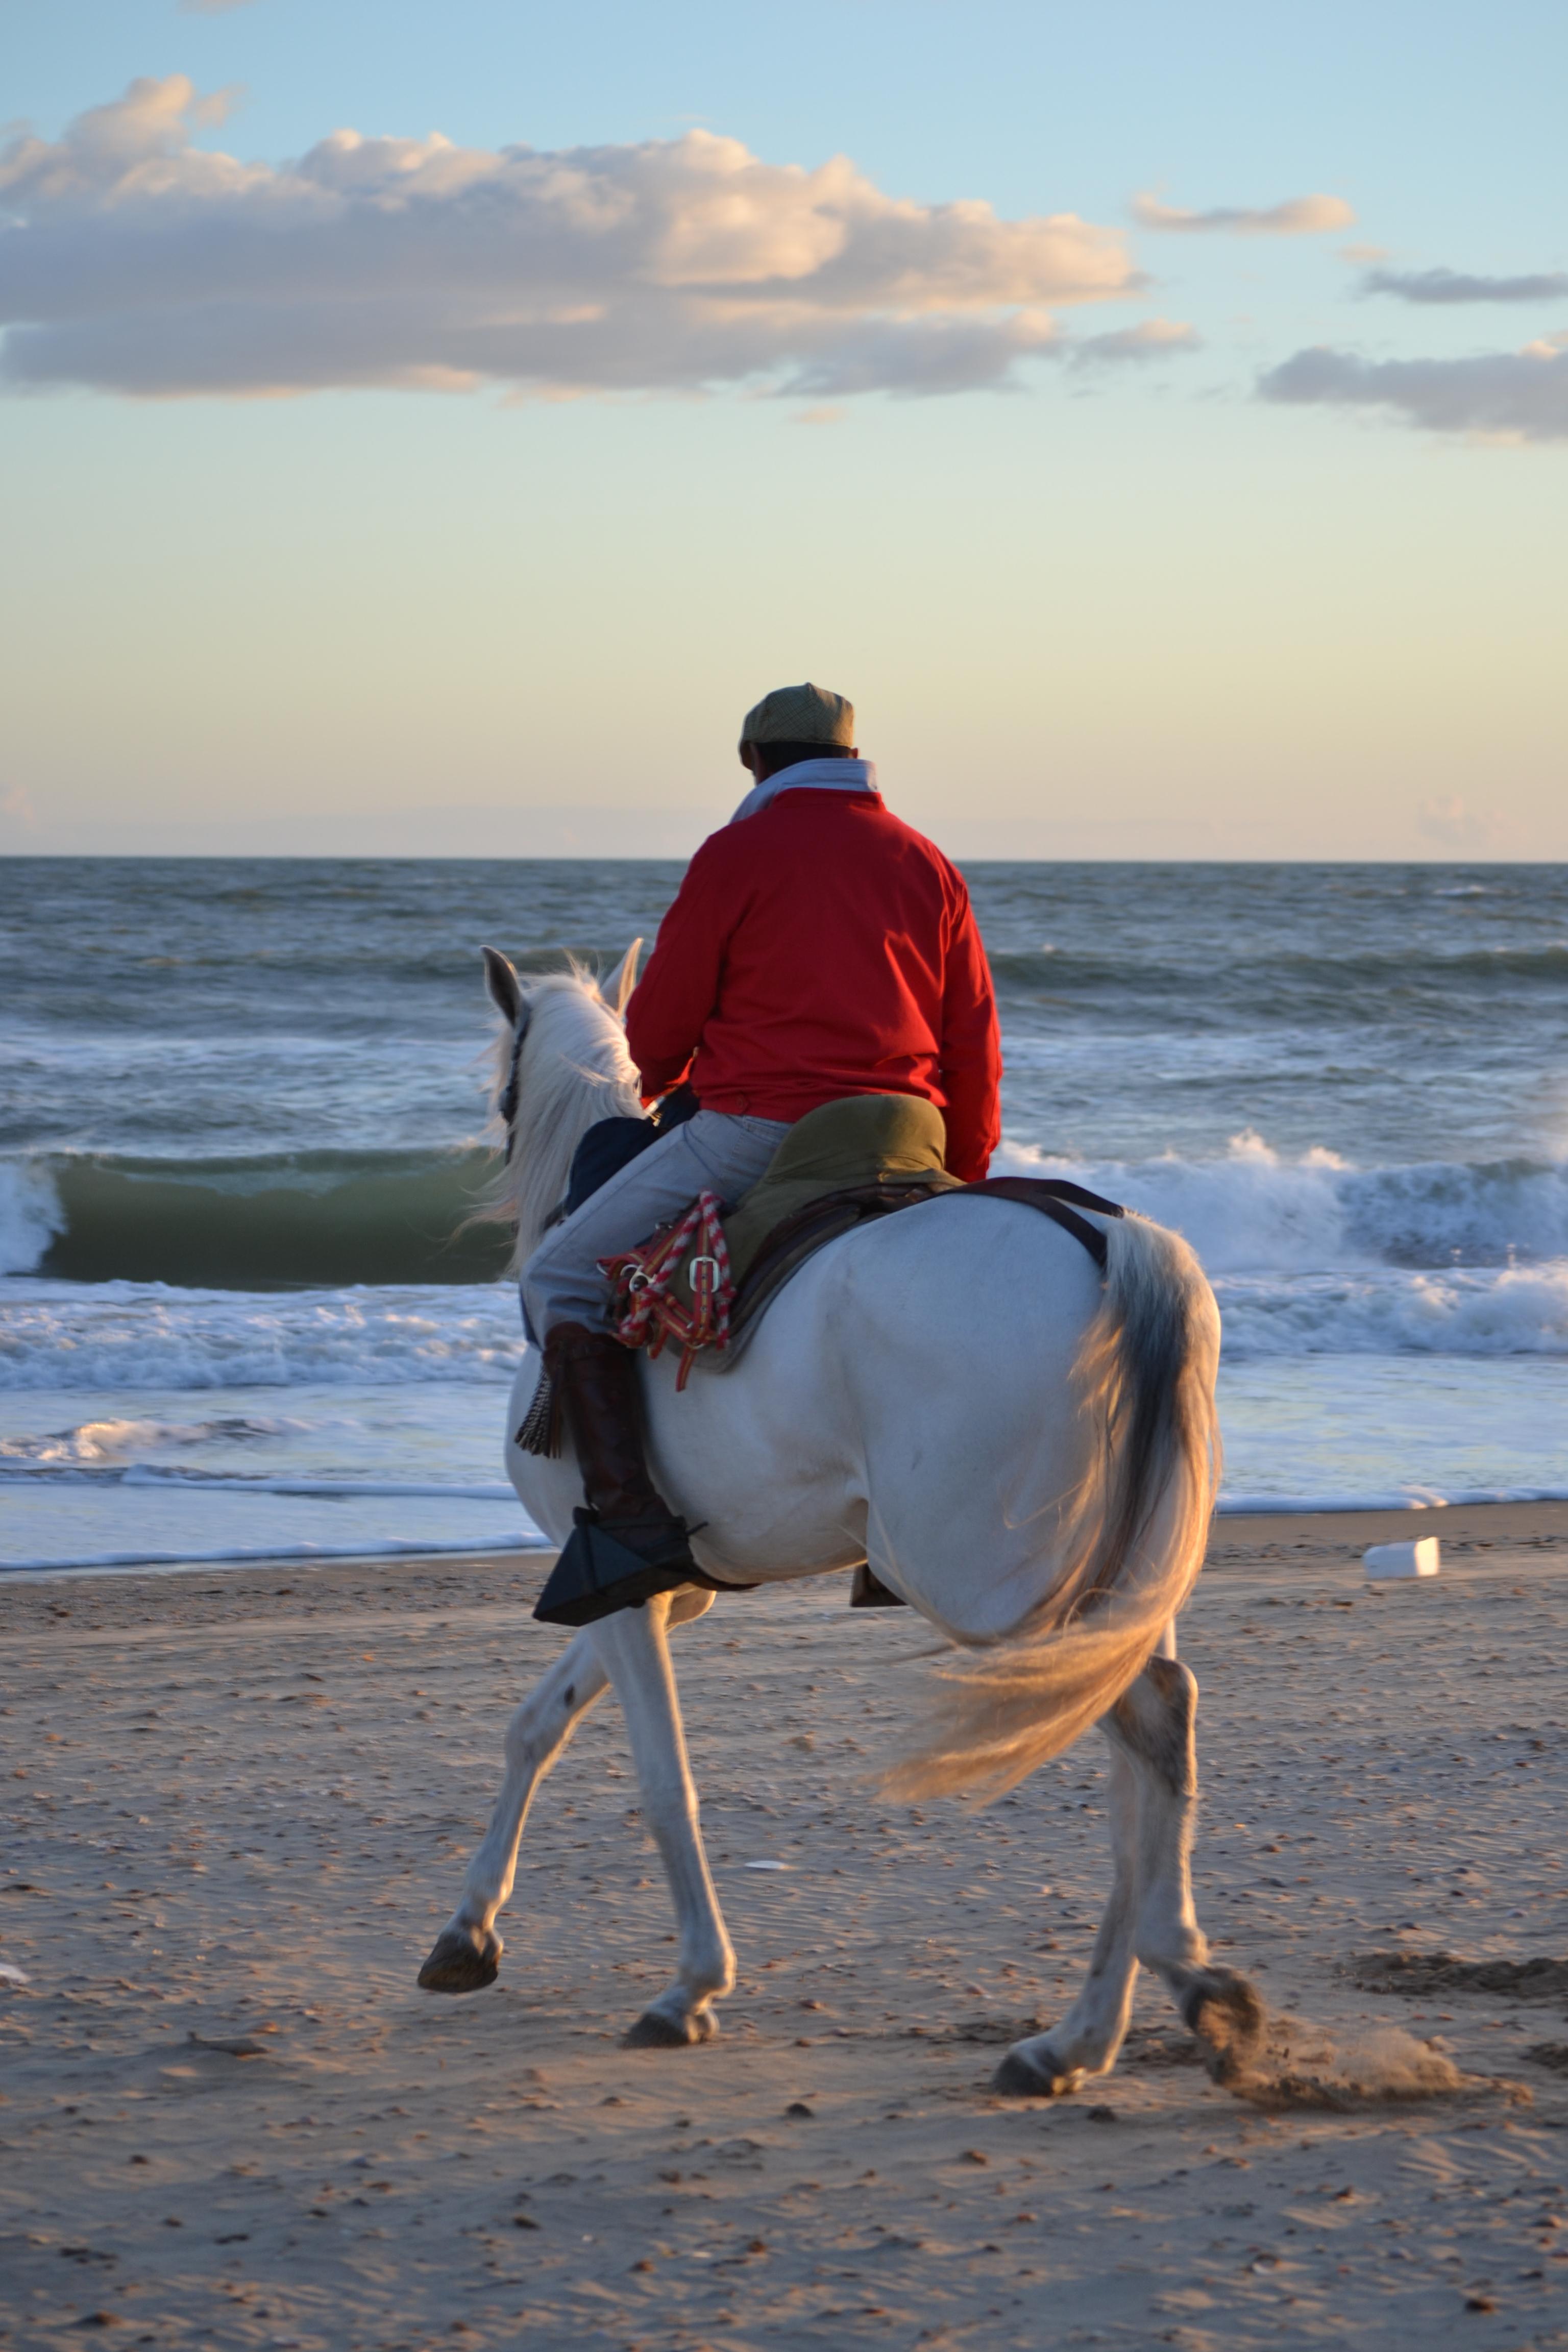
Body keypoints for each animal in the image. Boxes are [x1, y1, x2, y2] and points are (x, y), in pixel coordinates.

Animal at [421, 945, 1260, 2088]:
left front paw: (691, 1985)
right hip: (1120, 1576)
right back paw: (1082, 2033)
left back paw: (1169, 1983)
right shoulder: (652, 1587)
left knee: (1153, 1715)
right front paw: (467, 1931)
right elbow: (533, 1726)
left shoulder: (625, 1590)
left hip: (990, 1582)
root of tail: (1104, 1244)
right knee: (1146, 1758)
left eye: (501, 1085)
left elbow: (661, 1779)